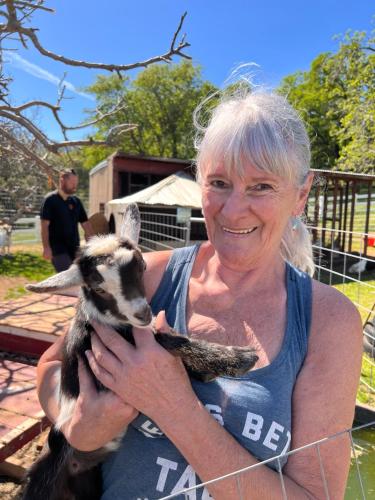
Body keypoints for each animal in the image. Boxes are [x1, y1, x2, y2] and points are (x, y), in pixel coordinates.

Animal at [22, 204, 258, 500]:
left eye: (142, 266)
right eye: (98, 287)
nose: (143, 313)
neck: (106, 323)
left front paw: (205, 372)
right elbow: (171, 341)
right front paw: (238, 358)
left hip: (88, 482)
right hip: (47, 476)